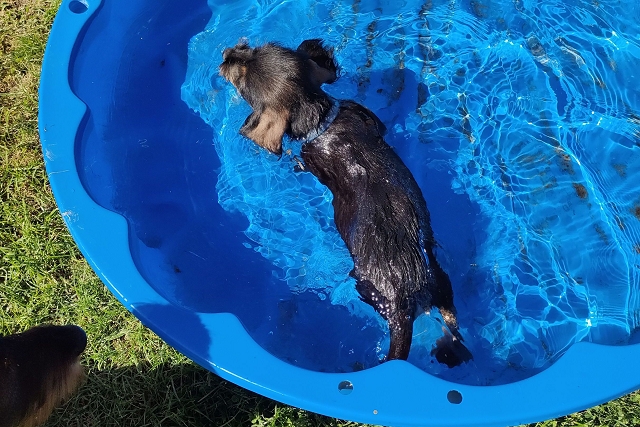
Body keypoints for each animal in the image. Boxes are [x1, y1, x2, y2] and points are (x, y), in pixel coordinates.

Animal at [219, 39, 472, 367]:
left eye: (241, 79)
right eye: (256, 48)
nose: (227, 53)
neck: (322, 119)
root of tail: (404, 301)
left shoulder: (311, 159)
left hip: (366, 288)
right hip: (442, 283)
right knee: (451, 320)